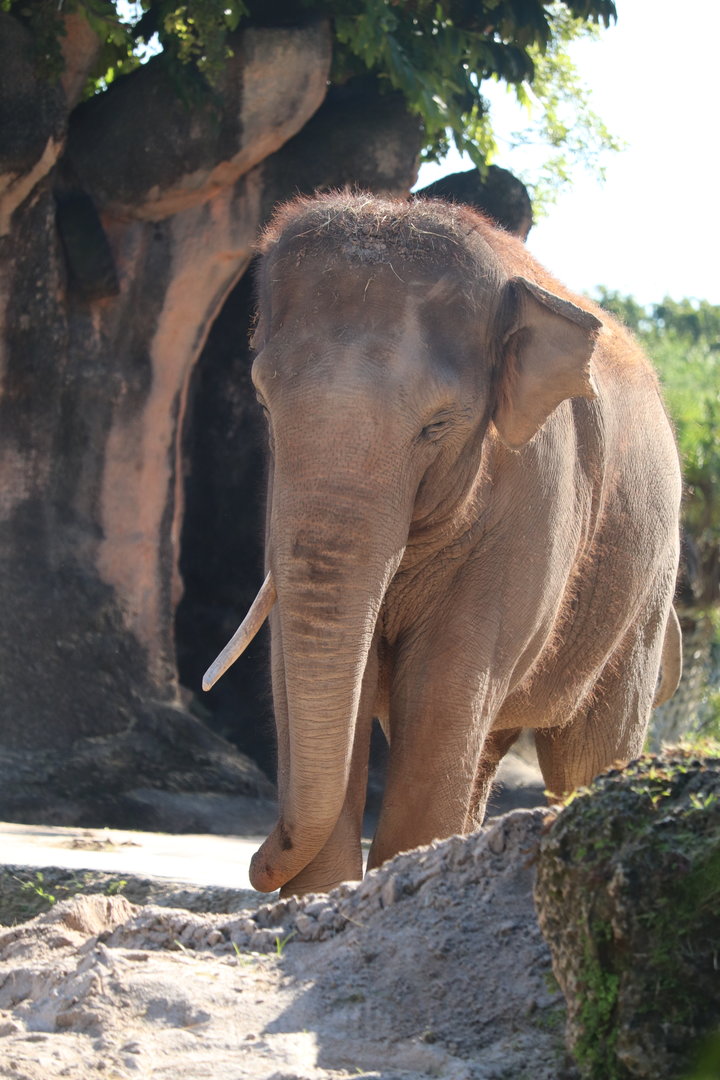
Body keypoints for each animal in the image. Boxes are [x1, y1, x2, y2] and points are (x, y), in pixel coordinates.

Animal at [203, 192, 683, 898]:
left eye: (437, 425)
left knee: (587, 753)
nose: (258, 864)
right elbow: (308, 674)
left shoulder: (534, 499)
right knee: (484, 750)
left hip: (644, 596)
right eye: (263, 403)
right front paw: (323, 900)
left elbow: (442, 689)